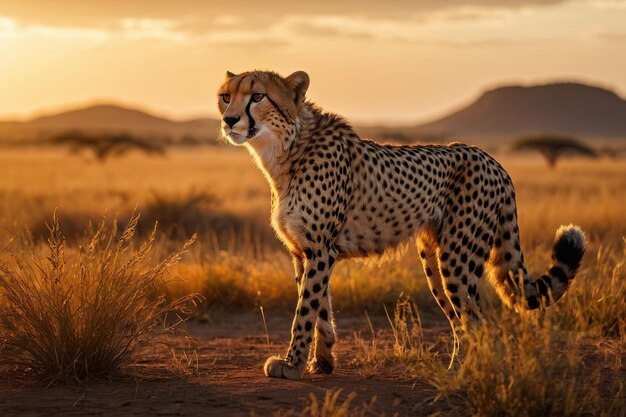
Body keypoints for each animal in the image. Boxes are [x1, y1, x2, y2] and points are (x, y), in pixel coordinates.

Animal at [216, 70, 584, 378]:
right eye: (225, 96)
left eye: (257, 96)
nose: (229, 119)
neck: (285, 150)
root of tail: (493, 160)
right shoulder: (303, 252)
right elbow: (320, 308)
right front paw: (322, 360)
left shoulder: (320, 250)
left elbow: (305, 310)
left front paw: (292, 365)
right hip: (433, 258)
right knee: (460, 320)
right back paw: (455, 368)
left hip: (458, 258)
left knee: (476, 319)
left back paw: (468, 372)